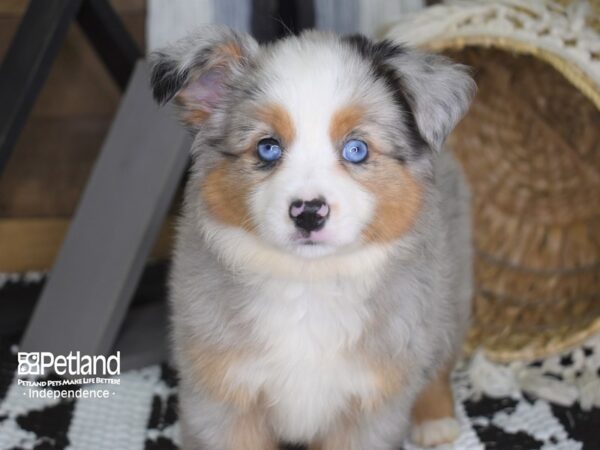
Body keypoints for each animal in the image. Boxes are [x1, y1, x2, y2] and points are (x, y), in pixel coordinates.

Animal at [149, 27, 474, 450]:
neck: (307, 283)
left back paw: (436, 422)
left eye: (356, 149)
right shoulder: (222, 396)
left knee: (440, 361)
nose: (308, 212)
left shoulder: (369, 404)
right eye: (267, 147)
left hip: (447, 298)